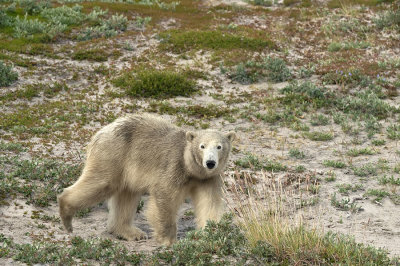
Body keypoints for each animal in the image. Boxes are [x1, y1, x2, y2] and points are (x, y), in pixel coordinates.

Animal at [58, 113, 234, 246]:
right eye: (202, 146)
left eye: (219, 146)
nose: (210, 162)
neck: (190, 167)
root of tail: (100, 132)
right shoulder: (174, 167)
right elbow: (165, 196)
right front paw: (169, 240)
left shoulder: (207, 179)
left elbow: (209, 202)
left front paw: (210, 233)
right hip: (113, 153)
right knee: (101, 182)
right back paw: (66, 214)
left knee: (126, 196)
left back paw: (131, 232)